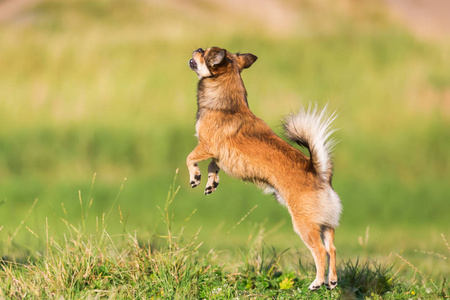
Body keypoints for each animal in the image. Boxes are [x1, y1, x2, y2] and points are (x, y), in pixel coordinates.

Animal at [186, 47, 342, 290]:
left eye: (205, 53)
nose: (197, 49)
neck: (226, 102)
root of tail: (320, 173)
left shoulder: (206, 145)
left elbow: (190, 158)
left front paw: (195, 176)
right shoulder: (220, 156)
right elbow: (213, 165)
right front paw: (212, 182)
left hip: (304, 225)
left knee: (320, 251)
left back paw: (317, 282)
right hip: (324, 224)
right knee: (332, 248)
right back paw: (332, 280)